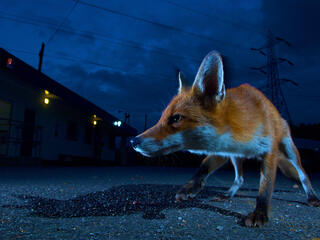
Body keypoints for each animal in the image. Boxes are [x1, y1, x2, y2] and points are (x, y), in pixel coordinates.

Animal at [131, 50, 320, 227]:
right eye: (161, 118)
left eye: (176, 118)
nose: (133, 141)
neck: (240, 129)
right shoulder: (221, 149)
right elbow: (203, 167)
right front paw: (191, 187)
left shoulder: (269, 152)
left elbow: (265, 188)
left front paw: (260, 213)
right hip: (235, 157)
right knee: (239, 179)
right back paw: (227, 194)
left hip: (289, 151)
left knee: (303, 175)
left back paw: (312, 197)